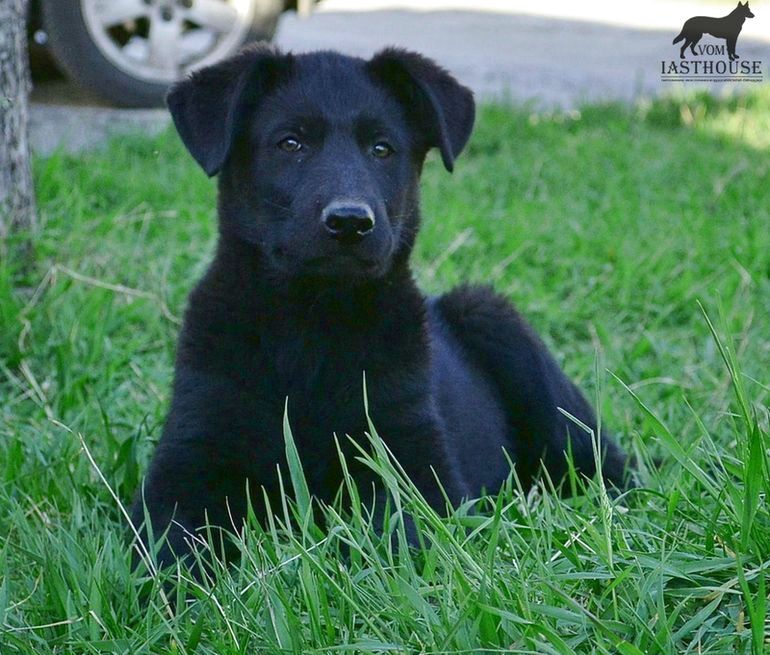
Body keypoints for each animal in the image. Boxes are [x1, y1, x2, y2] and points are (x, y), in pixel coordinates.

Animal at [132, 44, 628, 568]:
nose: (350, 221)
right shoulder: (188, 455)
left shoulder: (412, 455)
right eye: (290, 143)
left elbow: (398, 534)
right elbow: (173, 543)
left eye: (382, 149)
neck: (311, 323)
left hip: (498, 326)